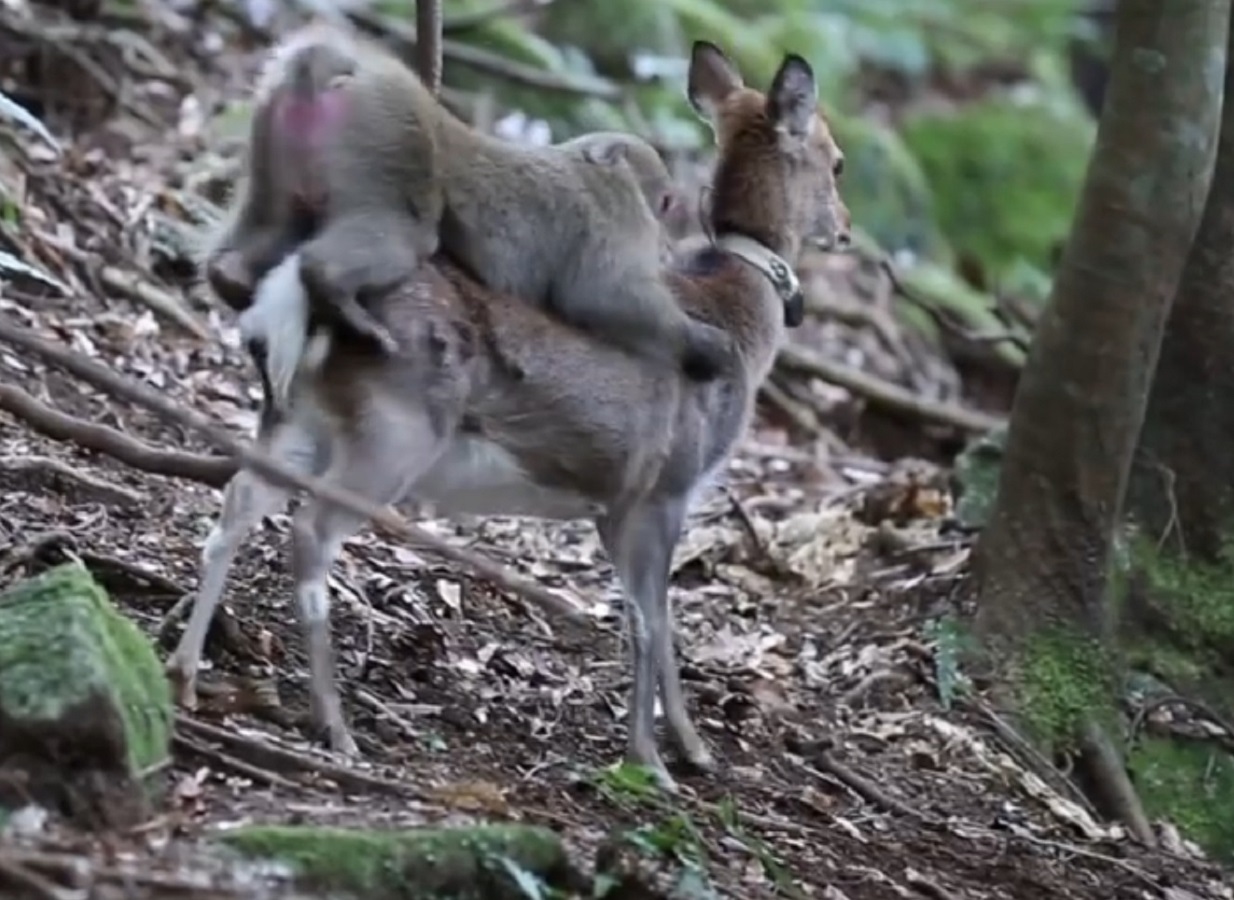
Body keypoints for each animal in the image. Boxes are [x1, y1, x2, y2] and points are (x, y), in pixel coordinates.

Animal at [202, 20, 730, 380]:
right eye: (666, 203)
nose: (666, 247)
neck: (599, 168)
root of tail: (340, 70)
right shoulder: (617, 219)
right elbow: (603, 296)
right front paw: (701, 342)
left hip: (270, 138)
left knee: (272, 224)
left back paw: (232, 275)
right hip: (388, 142)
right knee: (407, 236)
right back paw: (333, 290)